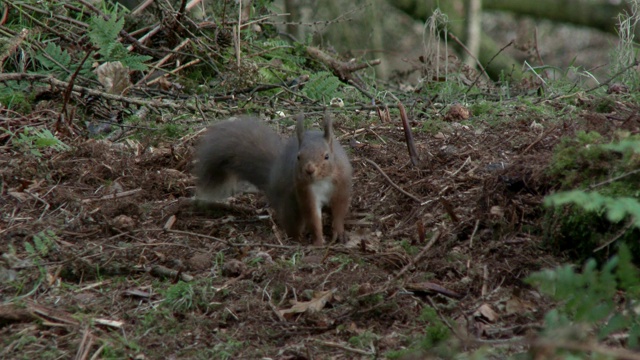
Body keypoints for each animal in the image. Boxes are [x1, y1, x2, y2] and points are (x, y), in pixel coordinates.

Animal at [198, 114, 352, 246]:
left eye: (326, 156)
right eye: (298, 157)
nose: (309, 170)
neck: (321, 180)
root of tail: (271, 180)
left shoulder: (341, 187)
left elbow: (339, 211)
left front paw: (339, 233)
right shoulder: (305, 192)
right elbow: (313, 217)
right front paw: (318, 241)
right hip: (290, 206)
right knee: (292, 224)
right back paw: (297, 239)